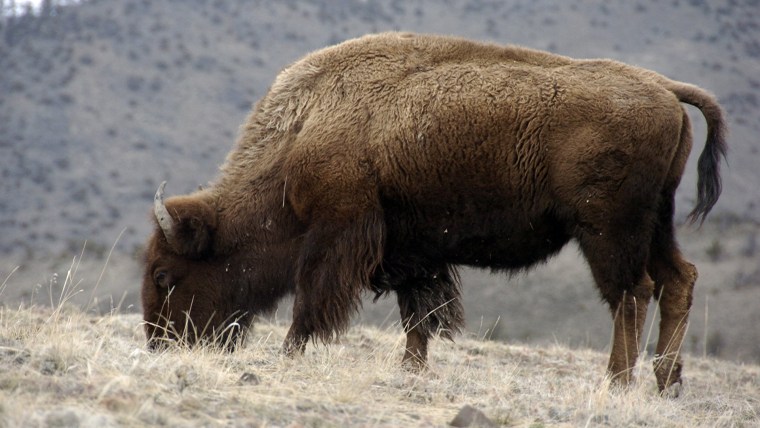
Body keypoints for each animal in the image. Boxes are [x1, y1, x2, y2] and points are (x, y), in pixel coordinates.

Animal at [140, 32, 728, 394]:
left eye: (165, 276)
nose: (160, 345)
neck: (305, 130)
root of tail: (664, 87)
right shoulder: (413, 249)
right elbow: (419, 315)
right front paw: (412, 370)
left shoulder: (338, 233)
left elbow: (312, 304)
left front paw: (290, 355)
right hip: (657, 223)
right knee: (678, 280)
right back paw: (666, 383)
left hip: (608, 230)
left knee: (632, 292)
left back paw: (618, 382)